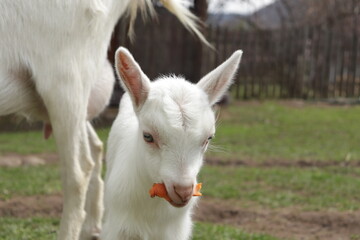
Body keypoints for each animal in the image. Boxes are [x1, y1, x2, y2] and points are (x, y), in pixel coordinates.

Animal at [0, 0, 207, 239]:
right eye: (148, 136)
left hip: (64, 81)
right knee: (95, 149)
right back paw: (91, 228)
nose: (183, 191)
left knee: (78, 171)